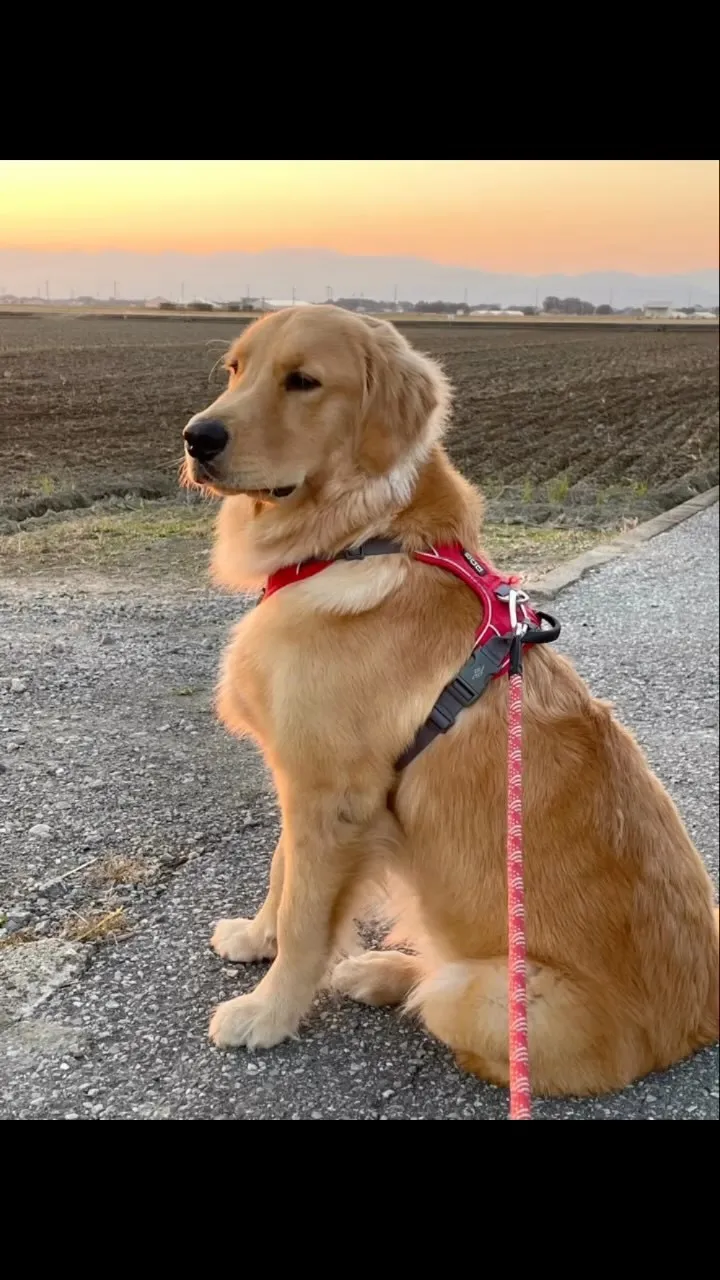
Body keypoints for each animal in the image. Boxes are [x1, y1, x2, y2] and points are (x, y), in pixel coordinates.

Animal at [181, 304, 712, 1095]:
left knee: (443, 994)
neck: (363, 536)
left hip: (481, 993)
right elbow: (283, 870)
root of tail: (699, 1018)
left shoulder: (334, 796)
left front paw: (268, 1012)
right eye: (235, 369)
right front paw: (256, 934)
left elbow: (308, 918)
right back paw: (376, 970)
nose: (197, 437)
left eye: (303, 381)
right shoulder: (304, 777)